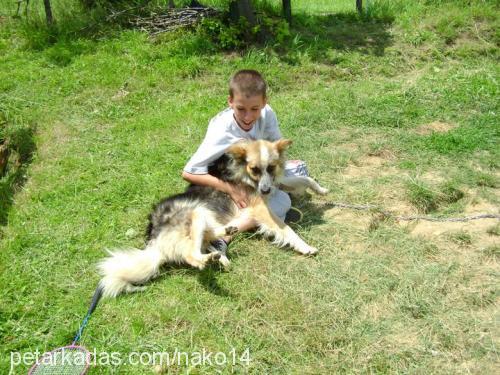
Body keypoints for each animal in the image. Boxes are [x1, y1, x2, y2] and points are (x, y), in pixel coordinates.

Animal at [99, 140, 330, 298]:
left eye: (271, 167)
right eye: (254, 169)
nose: (265, 190)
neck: (241, 170)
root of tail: (153, 240)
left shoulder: (273, 185)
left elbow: (302, 178)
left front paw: (321, 190)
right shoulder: (259, 207)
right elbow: (286, 229)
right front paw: (305, 247)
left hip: (203, 216)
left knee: (207, 239)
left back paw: (223, 246)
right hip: (195, 213)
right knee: (192, 255)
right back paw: (210, 258)